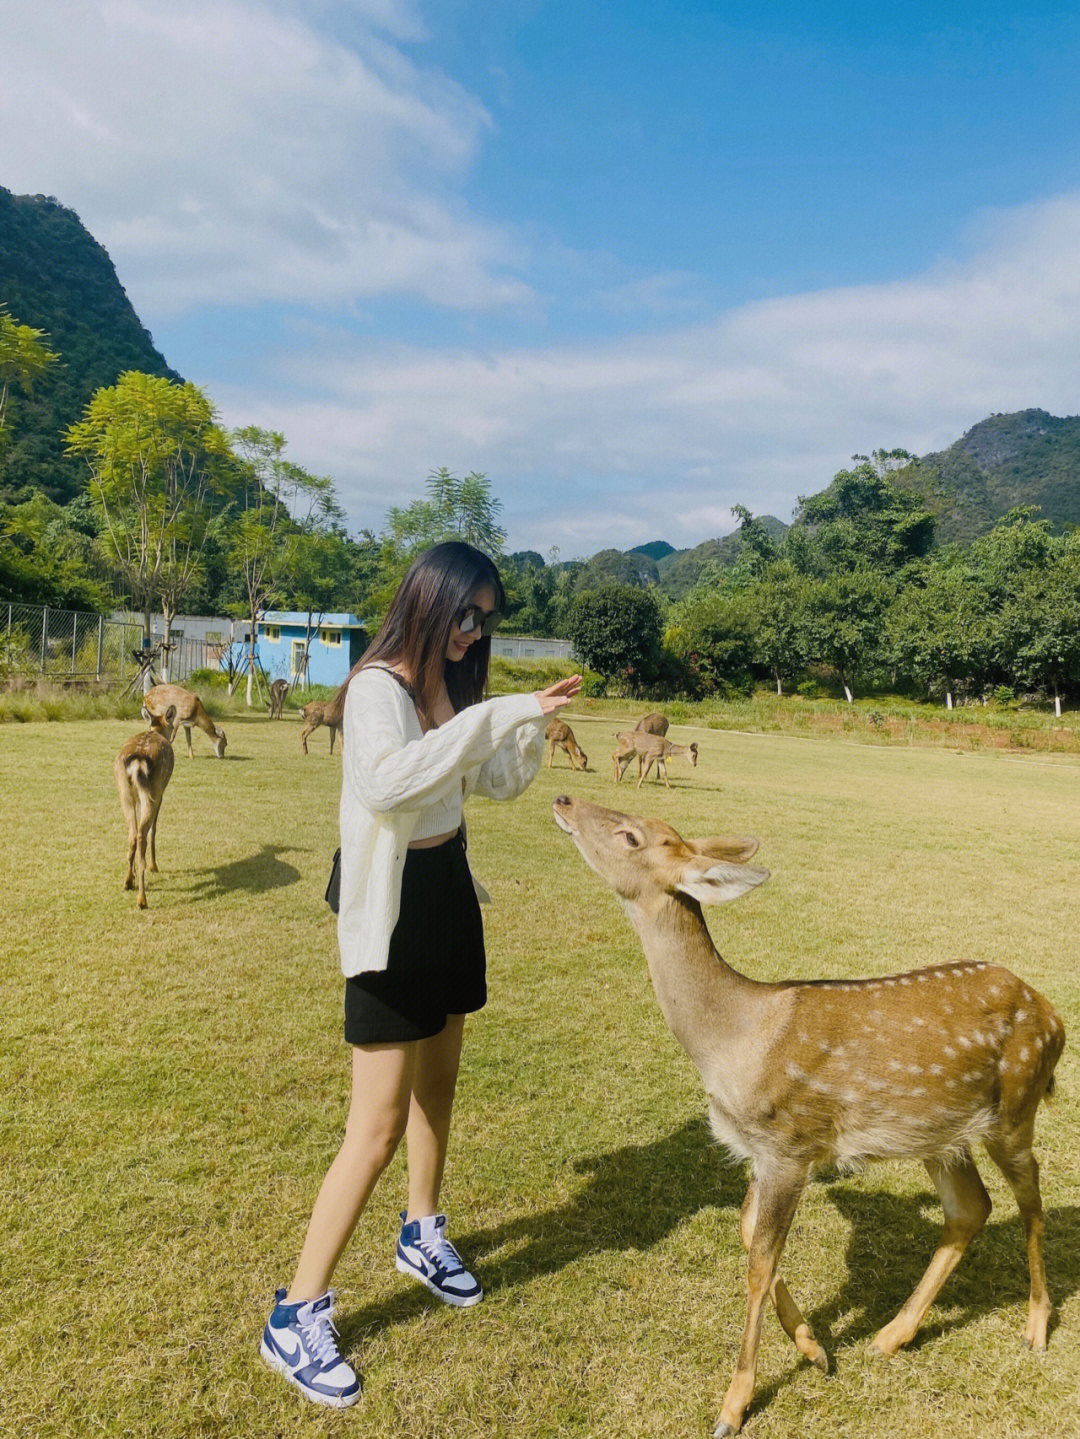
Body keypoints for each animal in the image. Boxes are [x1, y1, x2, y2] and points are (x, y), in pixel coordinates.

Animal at [114, 705, 176, 909]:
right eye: (173, 724)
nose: (172, 736)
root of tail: (138, 761)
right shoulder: (162, 791)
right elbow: (154, 828)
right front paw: (154, 866)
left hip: (124, 790)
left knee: (132, 833)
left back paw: (128, 881)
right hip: (154, 787)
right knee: (142, 833)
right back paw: (142, 899)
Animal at [552, 800, 1069, 1439]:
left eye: (630, 836)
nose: (564, 801)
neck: (732, 1041)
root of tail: (1054, 1016)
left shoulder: (789, 1143)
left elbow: (758, 1261)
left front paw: (733, 1405)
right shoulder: (760, 1149)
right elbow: (748, 1232)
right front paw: (816, 1349)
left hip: (1016, 1106)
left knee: (1032, 1197)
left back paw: (1036, 1326)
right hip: (942, 1135)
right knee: (971, 1208)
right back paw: (891, 1335)